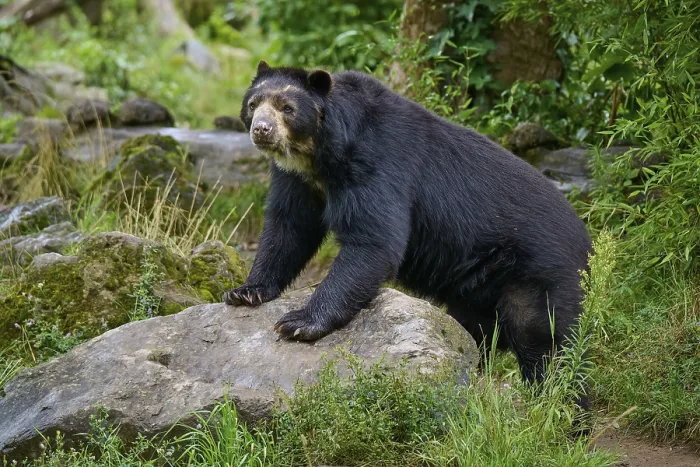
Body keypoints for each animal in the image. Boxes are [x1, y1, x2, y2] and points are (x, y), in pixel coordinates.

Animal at [225, 60, 593, 413]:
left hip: (538, 276)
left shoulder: (377, 164)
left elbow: (374, 240)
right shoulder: (298, 180)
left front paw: (298, 322)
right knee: (476, 332)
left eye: (287, 108)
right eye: (253, 103)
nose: (261, 130)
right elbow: (288, 228)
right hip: (477, 289)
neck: (320, 155)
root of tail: (587, 244)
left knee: (546, 343)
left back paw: (564, 409)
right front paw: (246, 292)